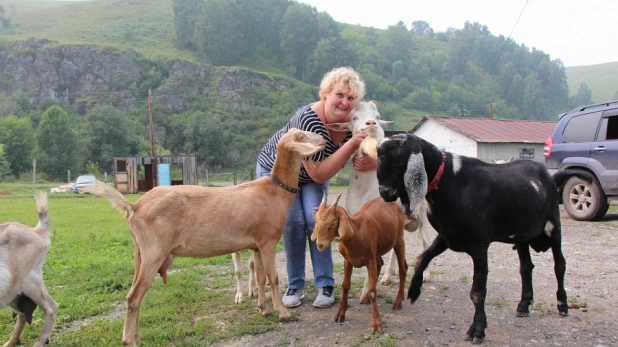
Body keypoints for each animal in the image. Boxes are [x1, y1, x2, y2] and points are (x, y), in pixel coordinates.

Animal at [0, 193, 57, 347]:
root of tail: (37, 231)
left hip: (29, 282)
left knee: (51, 307)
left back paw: (40, 342)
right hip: (13, 292)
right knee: (22, 314)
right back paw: (11, 342)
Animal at [80, 129, 328, 346]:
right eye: (301, 136)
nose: (324, 139)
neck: (274, 192)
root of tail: (134, 206)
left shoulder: (256, 244)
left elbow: (259, 278)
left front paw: (264, 309)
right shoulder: (267, 241)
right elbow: (273, 278)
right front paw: (282, 313)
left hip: (139, 253)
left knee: (136, 294)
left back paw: (138, 335)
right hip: (153, 252)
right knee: (133, 297)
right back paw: (129, 340)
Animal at [310, 196, 412, 334]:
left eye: (333, 223)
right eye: (316, 220)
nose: (320, 245)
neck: (357, 234)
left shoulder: (370, 261)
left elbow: (373, 291)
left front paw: (376, 324)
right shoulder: (348, 261)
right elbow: (345, 286)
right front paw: (340, 314)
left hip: (399, 239)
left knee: (403, 268)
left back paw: (398, 302)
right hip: (377, 249)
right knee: (381, 263)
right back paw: (367, 297)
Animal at [328, 101, 428, 304]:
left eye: (378, 115)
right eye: (354, 117)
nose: (371, 123)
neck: (364, 189)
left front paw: (365, 293)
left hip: (422, 213)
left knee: (425, 239)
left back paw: (426, 275)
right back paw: (388, 276)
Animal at [372, 134, 580, 346]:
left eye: (400, 162)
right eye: (380, 158)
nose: (384, 192)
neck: (452, 182)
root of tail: (547, 176)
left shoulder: (480, 246)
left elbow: (477, 293)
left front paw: (477, 329)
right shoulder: (447, 236)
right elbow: (421, 258)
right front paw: (414, 290)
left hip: (553, 226)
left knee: (559, 265)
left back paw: (562, 305)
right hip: (522, 234)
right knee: (526, 268)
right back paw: (523, 305)